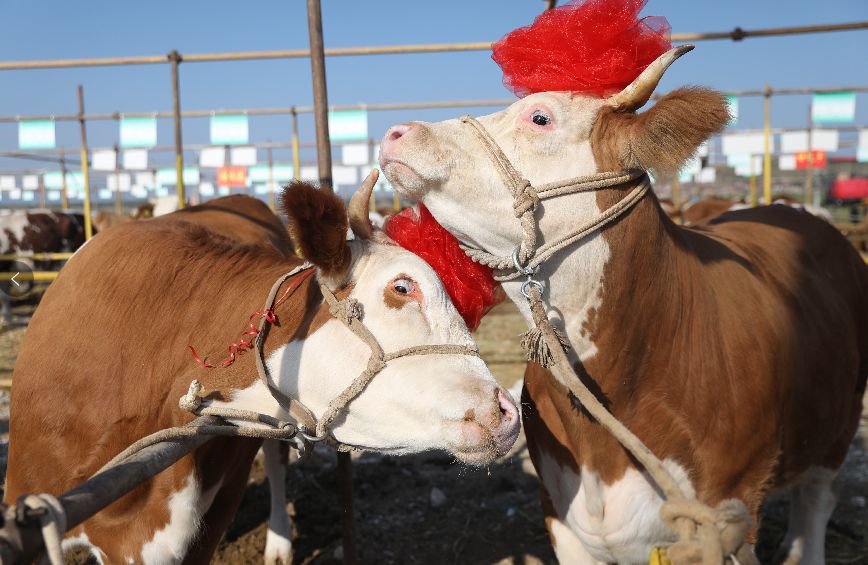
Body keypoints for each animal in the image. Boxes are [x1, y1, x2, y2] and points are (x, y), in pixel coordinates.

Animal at [382, 46, 868, 564]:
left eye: (540, 117)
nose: (397, 132)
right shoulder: (562, 517)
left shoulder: (727, 516)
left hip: (838, 426)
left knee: (816, 500)